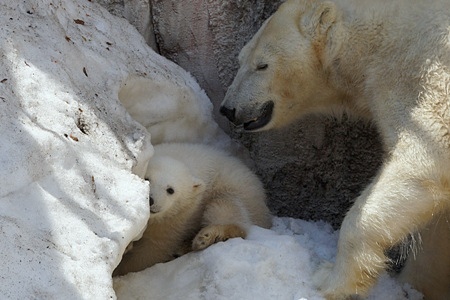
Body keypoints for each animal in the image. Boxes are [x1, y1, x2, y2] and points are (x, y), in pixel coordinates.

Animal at [221, 0, 450, 298]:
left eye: (262, 65)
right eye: (240, 59)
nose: (228, 108)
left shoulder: (423, 78)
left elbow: (426, 162)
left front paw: (330, 278)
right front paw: (415, 284)